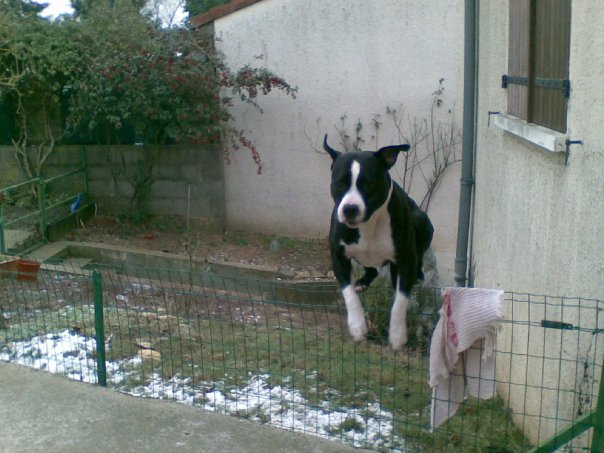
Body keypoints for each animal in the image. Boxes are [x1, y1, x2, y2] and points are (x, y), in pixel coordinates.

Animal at [326, 134, 434, 350]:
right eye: (340, 184)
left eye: (368, 184)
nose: (350, 208)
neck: (369, 224)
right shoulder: (338, 256)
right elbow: (347, 291)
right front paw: (357, 325)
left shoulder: (405, 260)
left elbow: (401, 299)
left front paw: (397, 334)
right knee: (371, 271)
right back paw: (361, 283)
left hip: (421, 219)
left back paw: (418, 274)